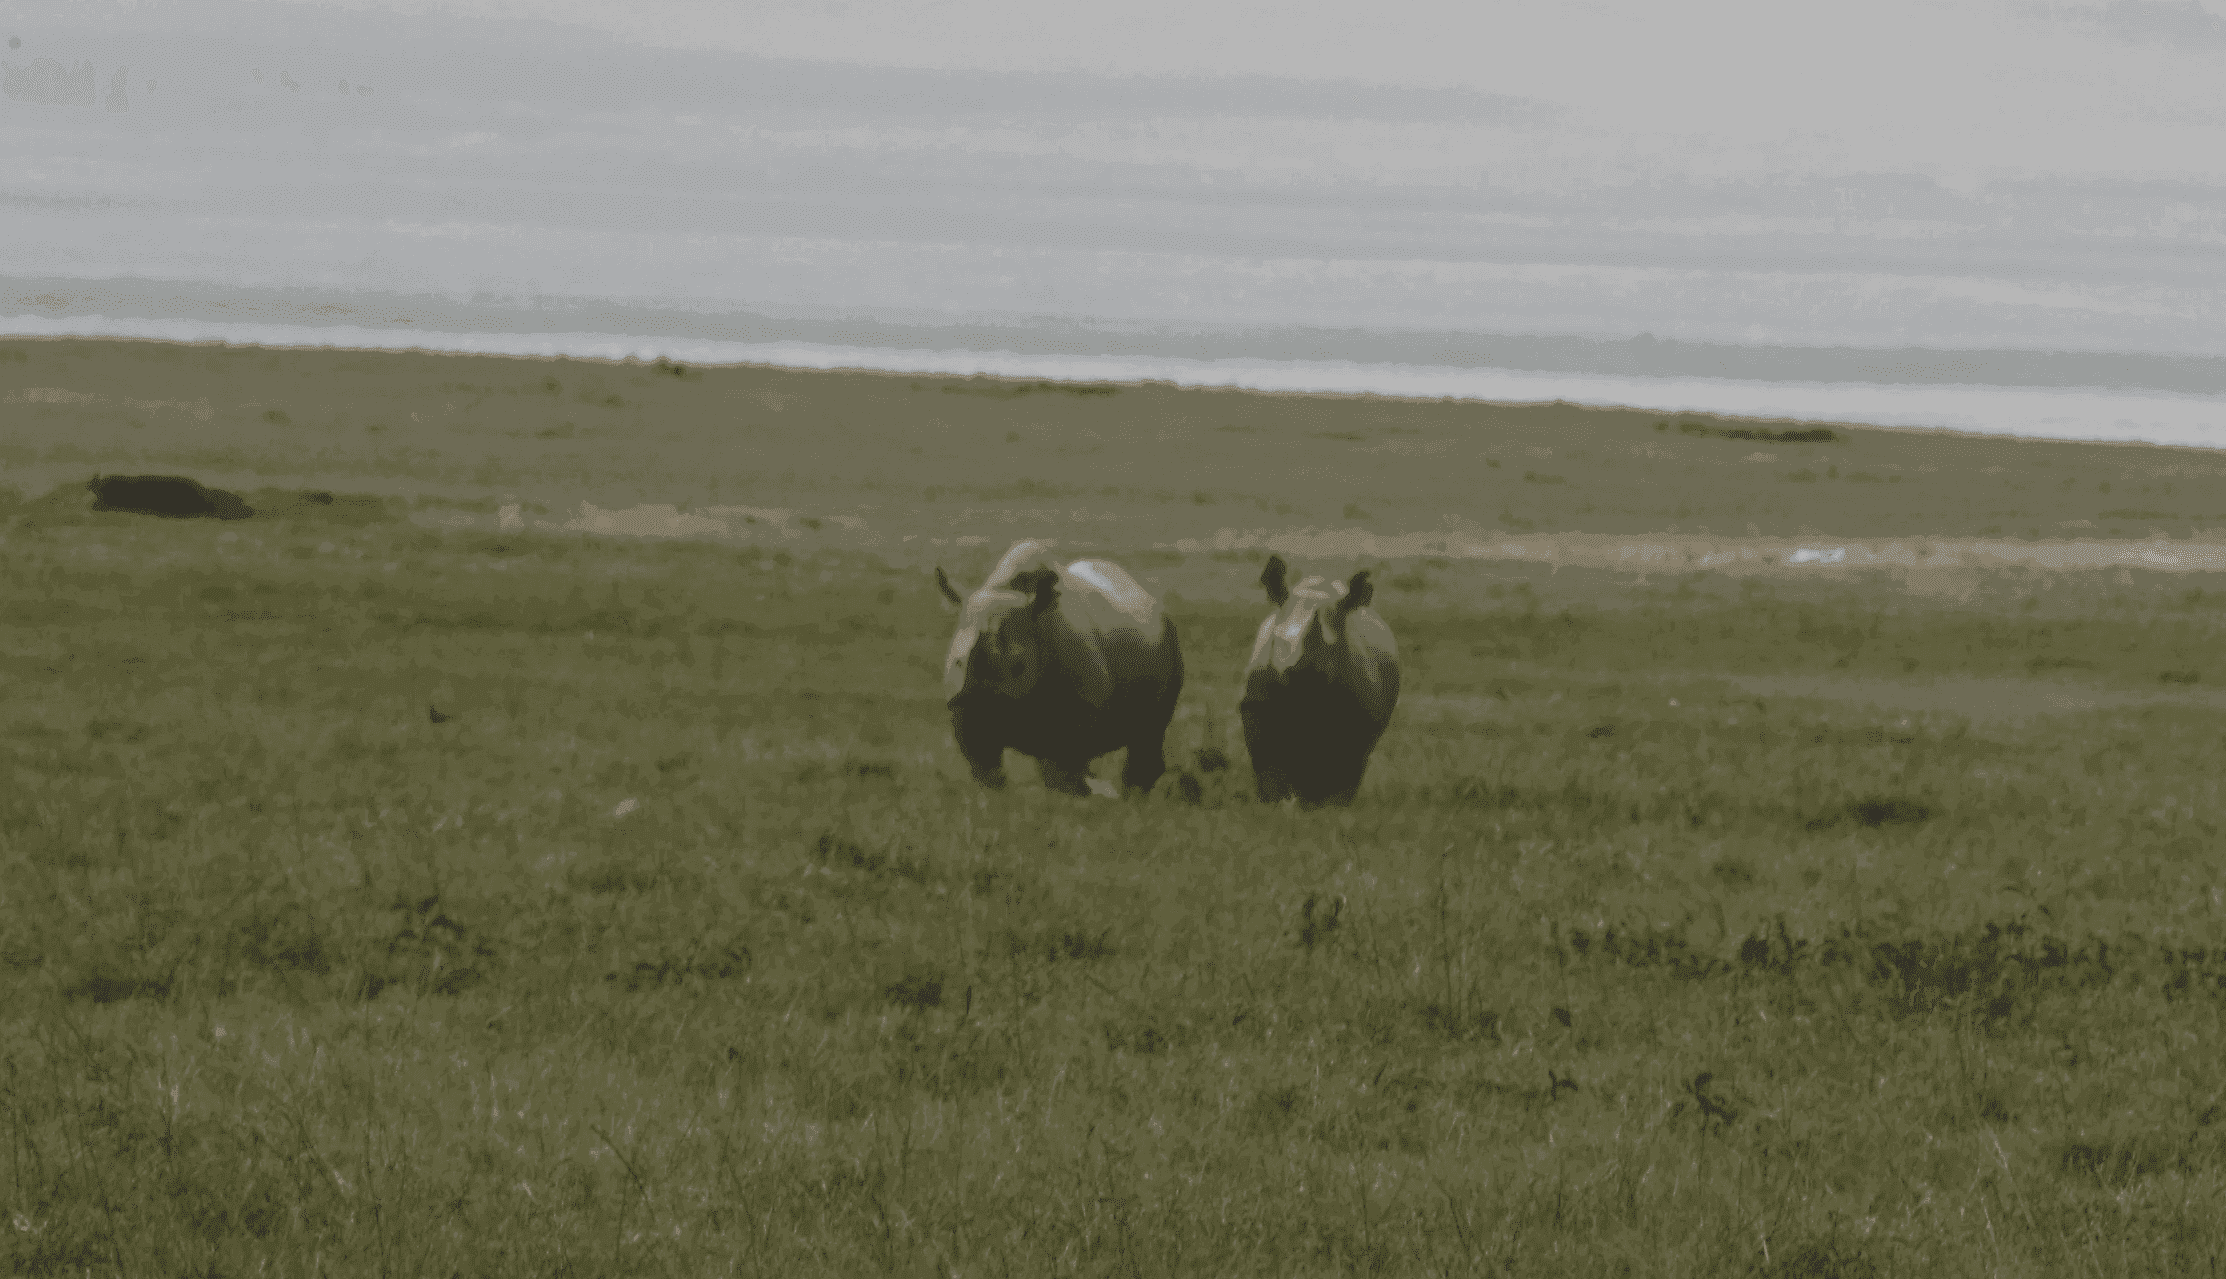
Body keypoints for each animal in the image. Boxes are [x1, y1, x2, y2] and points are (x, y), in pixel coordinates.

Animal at [935, 540, 1185, 796]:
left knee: (1148, 732)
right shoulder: (966, 712)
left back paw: (1133, 797)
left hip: (1170, 644)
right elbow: (986, 767)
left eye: (1019, 667)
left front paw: (1065, 801)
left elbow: (1062, 770)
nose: (985, 704)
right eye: (957, 662)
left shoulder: (1078, 714)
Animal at [1239, 555, 1401, 806]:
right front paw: (1275, 804)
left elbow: (1347, 765)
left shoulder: (1362, 716)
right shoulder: (1256, 704)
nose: (1304, 677)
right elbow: (1268, 763)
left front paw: (1333, 808)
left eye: (1334, 647)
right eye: (1278, 640)